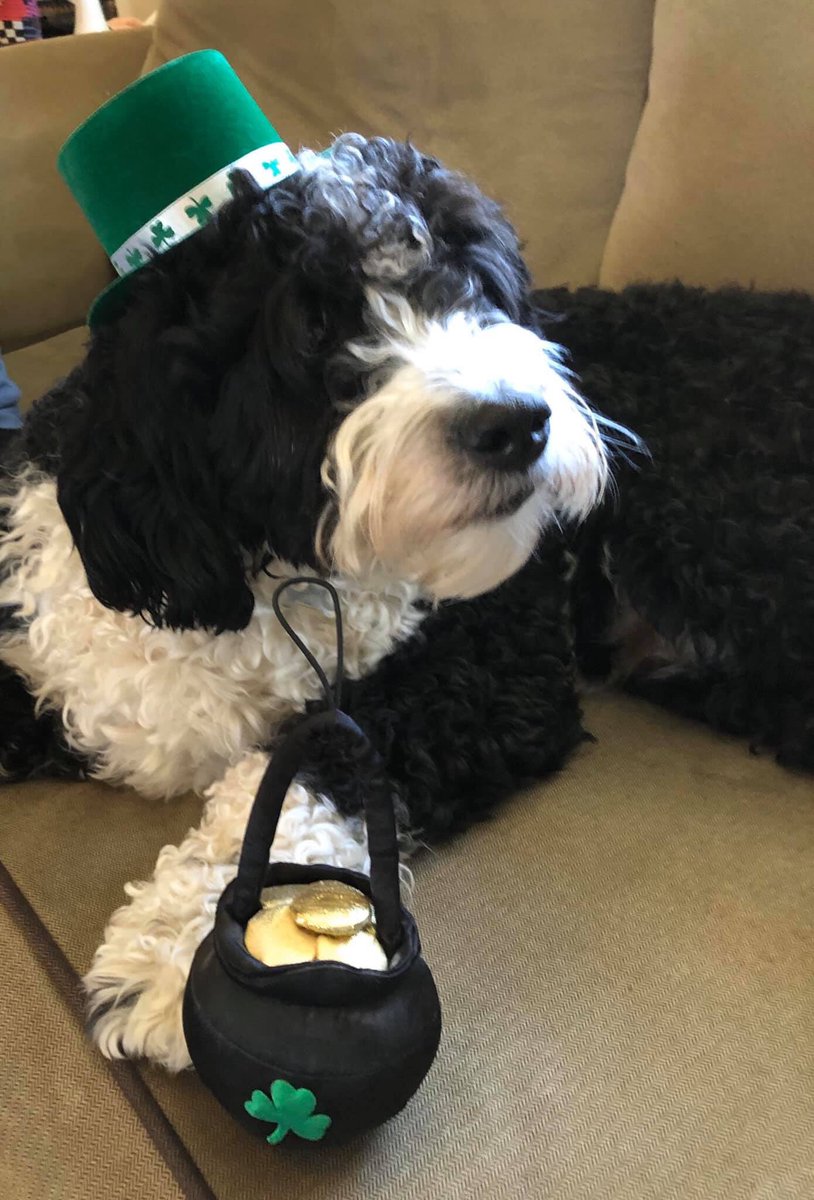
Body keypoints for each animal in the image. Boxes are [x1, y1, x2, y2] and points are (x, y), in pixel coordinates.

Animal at [1, 133, 814, 1070]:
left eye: (477, 286)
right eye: (315, 324)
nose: (519, 422)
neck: (265, 563)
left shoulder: (494, 664)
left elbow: (305, 768)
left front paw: (179, 946)